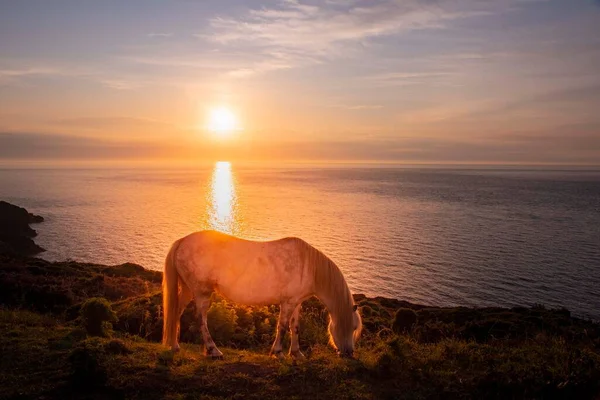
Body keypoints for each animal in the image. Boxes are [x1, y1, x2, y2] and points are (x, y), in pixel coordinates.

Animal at [162, 231, 364, 360]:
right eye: (353, 327)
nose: (349, 353)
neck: (307, 265)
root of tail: (182, 241)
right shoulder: (288, 303)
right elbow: (282, 326)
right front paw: (278, 353)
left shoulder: (296, 302)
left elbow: (295, 327)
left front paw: (296, 353)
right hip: (201, 292)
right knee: (201, 319)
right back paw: (213, 351)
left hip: (188, 289)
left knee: (176, 313)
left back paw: (175, 346)